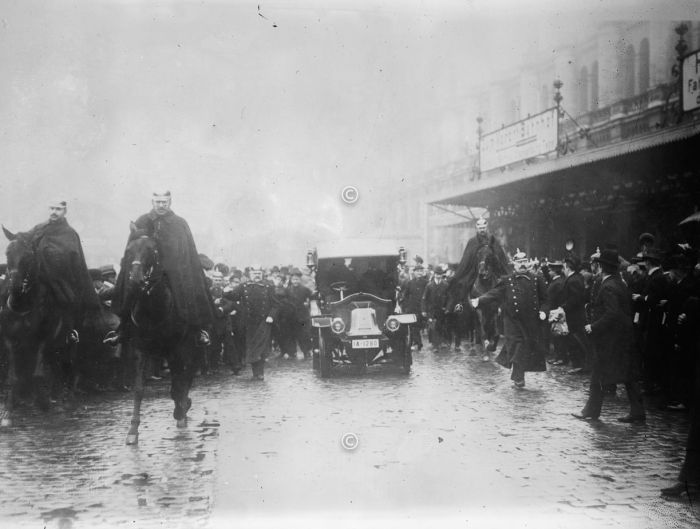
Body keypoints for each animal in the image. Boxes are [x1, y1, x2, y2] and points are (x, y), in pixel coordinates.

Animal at [0, 226, 79, 424]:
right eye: (7, 253)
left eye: (29, 257)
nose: (15, 288)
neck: (23, 305)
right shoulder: (10, 340)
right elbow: (13, 376)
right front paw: (8, 411)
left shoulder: (43, 339)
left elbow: (38, 374)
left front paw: (43, 404)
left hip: (63, 344)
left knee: (64, 367)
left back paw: (63, 402)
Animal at [119, 225, 201, 444]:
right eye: (129, 250)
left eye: (151, 250)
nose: (135, 279)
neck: (153, 310)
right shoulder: (140, 349)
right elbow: (139, 388)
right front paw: (133, 430)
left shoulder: (177, 349)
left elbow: (179, 384)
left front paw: (181, 412)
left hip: (189, 348)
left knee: (186, 376)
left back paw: (183, 409)